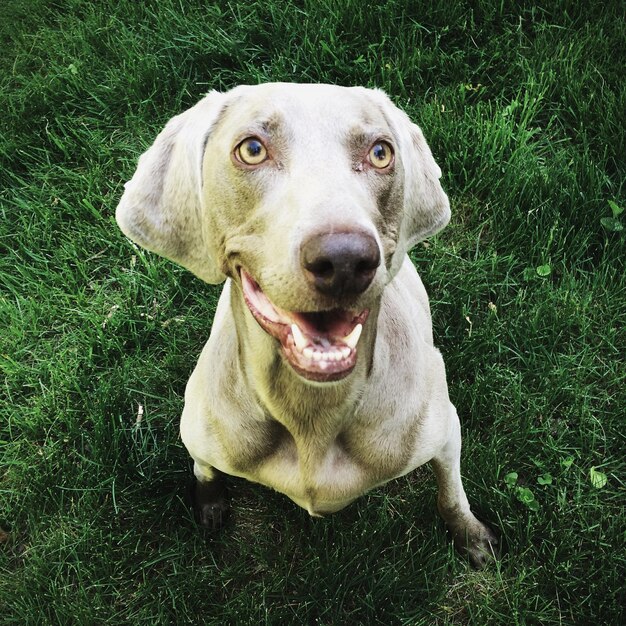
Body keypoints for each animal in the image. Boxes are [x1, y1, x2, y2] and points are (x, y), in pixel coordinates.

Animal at [116, 81, 498, 564]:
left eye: (380, 153)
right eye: (252, 149)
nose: (345, 261)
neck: (312, 412)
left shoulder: (445, 431)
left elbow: (450, 491)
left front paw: (470, 534)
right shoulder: (200, 429)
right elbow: (205, 468)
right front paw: (210, 502)